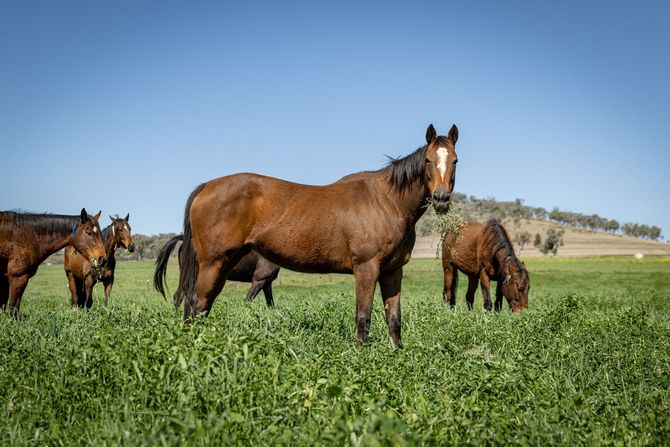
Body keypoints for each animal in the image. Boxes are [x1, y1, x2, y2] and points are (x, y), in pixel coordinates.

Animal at [154, 123, 459, 346]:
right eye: (428, 160)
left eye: (455, 161)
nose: (441, 198)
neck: (385, 201)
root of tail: (206, 186)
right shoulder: (366, 269)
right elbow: (363, 317)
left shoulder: (392, 271)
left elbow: (394, 319)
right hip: (213, 263)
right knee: (197, 304)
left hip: (223, 264)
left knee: (202, 305)